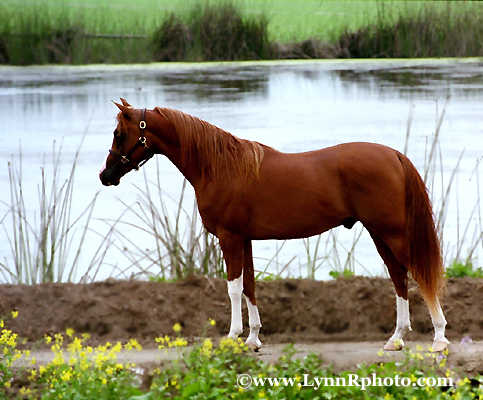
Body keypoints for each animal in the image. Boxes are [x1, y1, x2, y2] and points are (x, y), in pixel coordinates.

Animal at [100, 98, 452, 352]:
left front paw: (233, 336)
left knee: (419, 275)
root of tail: (393, 155)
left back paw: (438, 338)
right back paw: (396, 338)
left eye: (119, 134)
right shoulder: (245, 239)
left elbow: (233, 287)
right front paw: (254, 339)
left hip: (392, 233)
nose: (106, 176)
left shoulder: (229, 238)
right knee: (399, 278)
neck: (219, 167)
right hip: (381, 233)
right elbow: (250, 286)